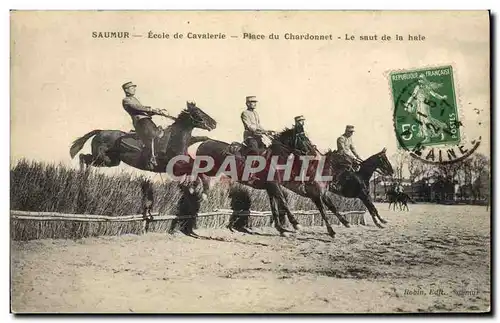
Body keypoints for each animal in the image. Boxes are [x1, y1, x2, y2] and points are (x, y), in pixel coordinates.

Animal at [69, 102, 216, 175]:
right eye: (197, 112)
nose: (214, 123)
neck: (173, 141)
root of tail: (100, 132)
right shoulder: (174, 166)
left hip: (111, 161)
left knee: (86, 158)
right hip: (102, 158)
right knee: (83, 157)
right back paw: (82, 176)